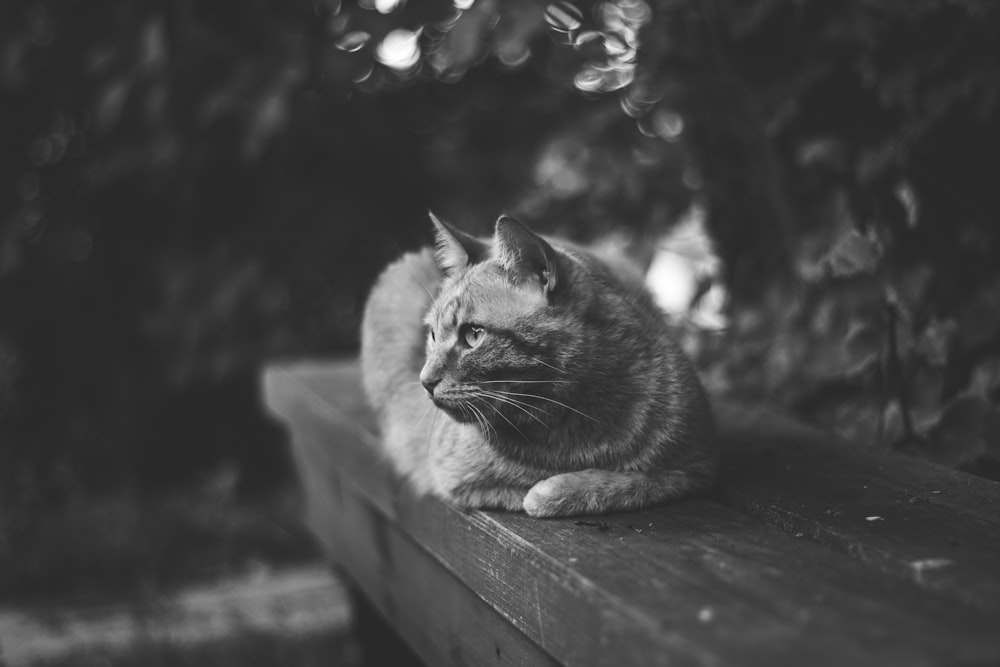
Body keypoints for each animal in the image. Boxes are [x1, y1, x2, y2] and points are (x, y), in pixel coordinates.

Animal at [360, 214, 720, 516]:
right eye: (433, 335)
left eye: (473, 335)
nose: (425, 381)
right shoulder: (453, 477)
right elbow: (519, 492)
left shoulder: (696, 467)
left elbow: (634, 482)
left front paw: (565, 488)